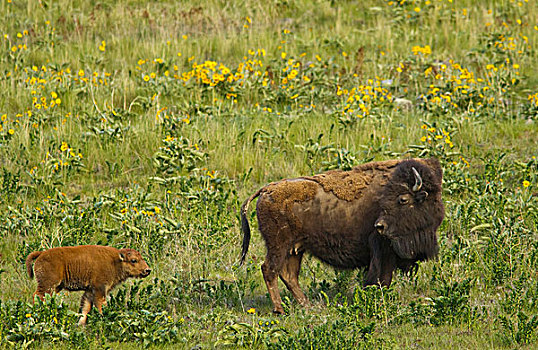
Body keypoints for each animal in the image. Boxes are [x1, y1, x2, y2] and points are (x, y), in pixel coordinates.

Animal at [241, 157, 442, 314]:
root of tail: (266, 190)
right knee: (269, 270)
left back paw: (307, 305)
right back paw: (280, 309)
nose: (380, 226)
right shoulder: (384, 251)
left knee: (288, 275)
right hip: (279, 246)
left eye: (402, 199)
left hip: (295, 249)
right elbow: (382, 278)